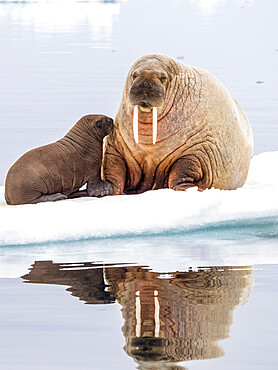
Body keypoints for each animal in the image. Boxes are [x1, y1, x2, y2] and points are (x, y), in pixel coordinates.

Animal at [102, 54, 254, 195]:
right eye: (134, 75)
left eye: (163, 77)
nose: (145, 83)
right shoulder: (115, 143)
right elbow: (114, 167)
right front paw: (107, 189)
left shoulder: (201, 148)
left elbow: (183, 169)